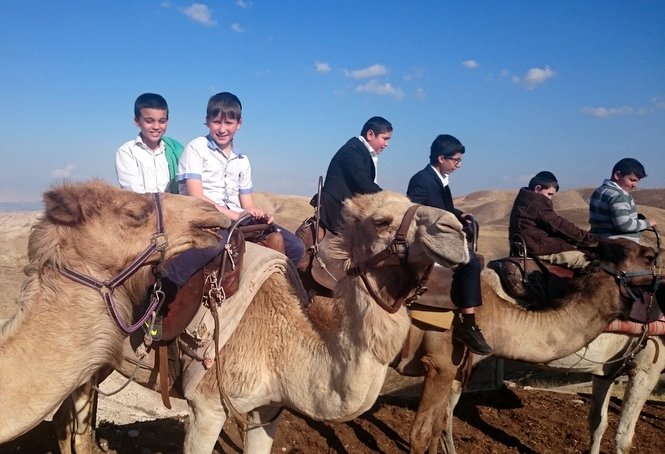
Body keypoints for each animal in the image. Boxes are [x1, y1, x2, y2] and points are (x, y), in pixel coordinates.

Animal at [391, 238, 662, 453]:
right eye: (647, 258)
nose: (655, 256)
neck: (492, 313)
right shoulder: (438, 365)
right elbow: (420, 435)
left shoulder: (607, 371)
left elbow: (598, 423)